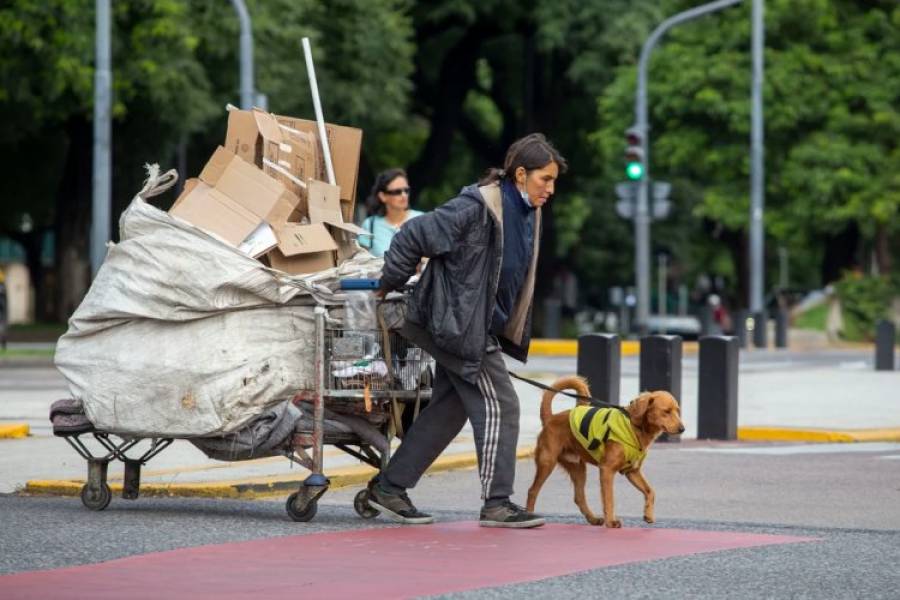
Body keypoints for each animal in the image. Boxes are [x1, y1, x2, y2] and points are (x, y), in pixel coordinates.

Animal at [524, 378, 684, 528]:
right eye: (666, 411)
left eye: (677, 411)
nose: (683, 429)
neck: (634, 427)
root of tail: (550, 418)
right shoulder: (607, 470)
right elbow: (609, 499)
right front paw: (611, 522)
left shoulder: (632, 471)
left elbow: (650, 491)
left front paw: (648, 514)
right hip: (547, 463)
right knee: (532, 491)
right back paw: (530, 516)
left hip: (578, 469)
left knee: (579, 497)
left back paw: (593, 519)